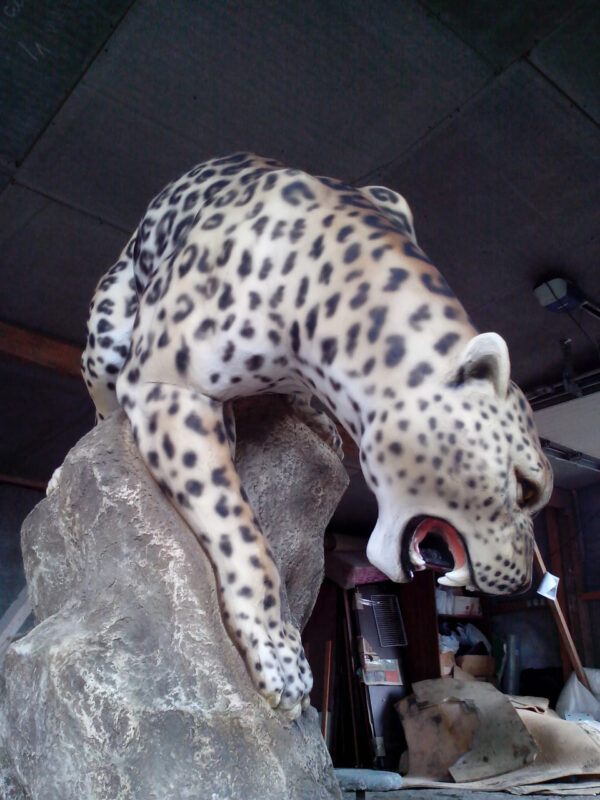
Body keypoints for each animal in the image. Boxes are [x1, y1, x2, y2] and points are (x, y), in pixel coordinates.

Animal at [81, 152, 553, 719]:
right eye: (526, 487)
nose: (525, 579)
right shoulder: (163, 385)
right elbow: (242, 532)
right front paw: (280, 658)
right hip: (107, 331)